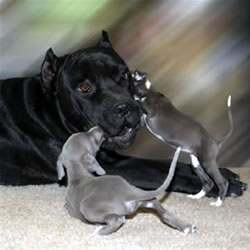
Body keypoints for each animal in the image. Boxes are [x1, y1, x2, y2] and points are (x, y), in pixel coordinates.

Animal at [56, 127, 195, 234]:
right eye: (90, 138)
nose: (99, 128)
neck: (78, 176)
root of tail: (128, 192)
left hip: (86, 207)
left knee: (118, 220)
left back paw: (100, 230)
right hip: (147, 201)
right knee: (163, 212)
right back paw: (186, 227)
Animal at [132, 71, 233, 207]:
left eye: (130, 74)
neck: (149, 90)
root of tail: (216, 141)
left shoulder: (151, 110)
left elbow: (138, 102)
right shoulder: (143, 120)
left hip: (207, 163)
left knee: (222, 182)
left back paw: (218, 202)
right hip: (196, 163)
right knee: (208, 183)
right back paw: (196, 196)